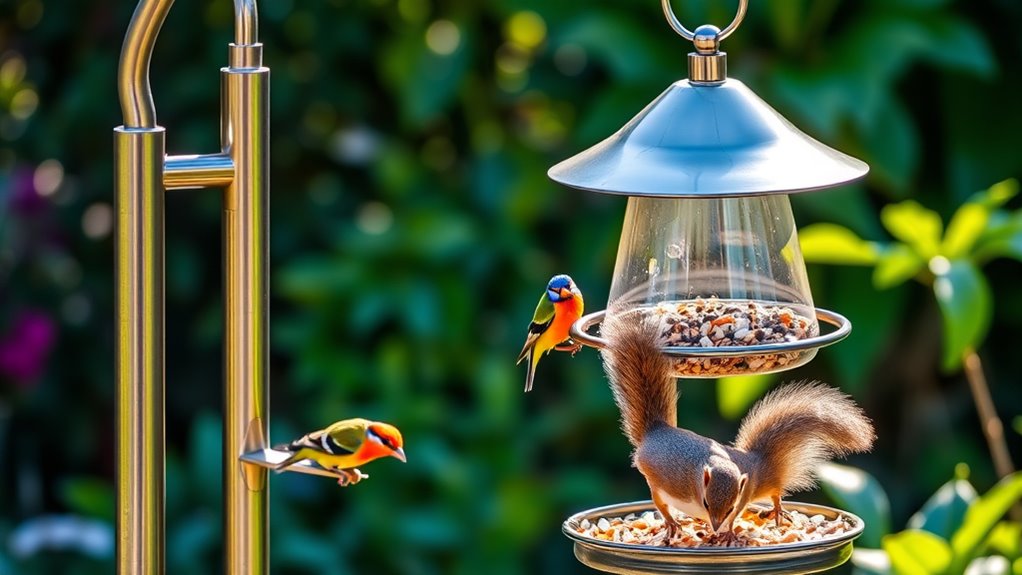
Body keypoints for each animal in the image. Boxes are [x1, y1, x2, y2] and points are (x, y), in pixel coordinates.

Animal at [600, 312, 875, 538]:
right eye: (706, 502)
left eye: (730, 506)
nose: (714, 524)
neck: (698, 475)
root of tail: (657, 429)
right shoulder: (664, 483)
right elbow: (661, 506)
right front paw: (672, 524)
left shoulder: (743, 494)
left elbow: (735, 516)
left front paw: (729, 532)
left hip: (759, 484)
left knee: (775, 491)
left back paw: (775, 510)